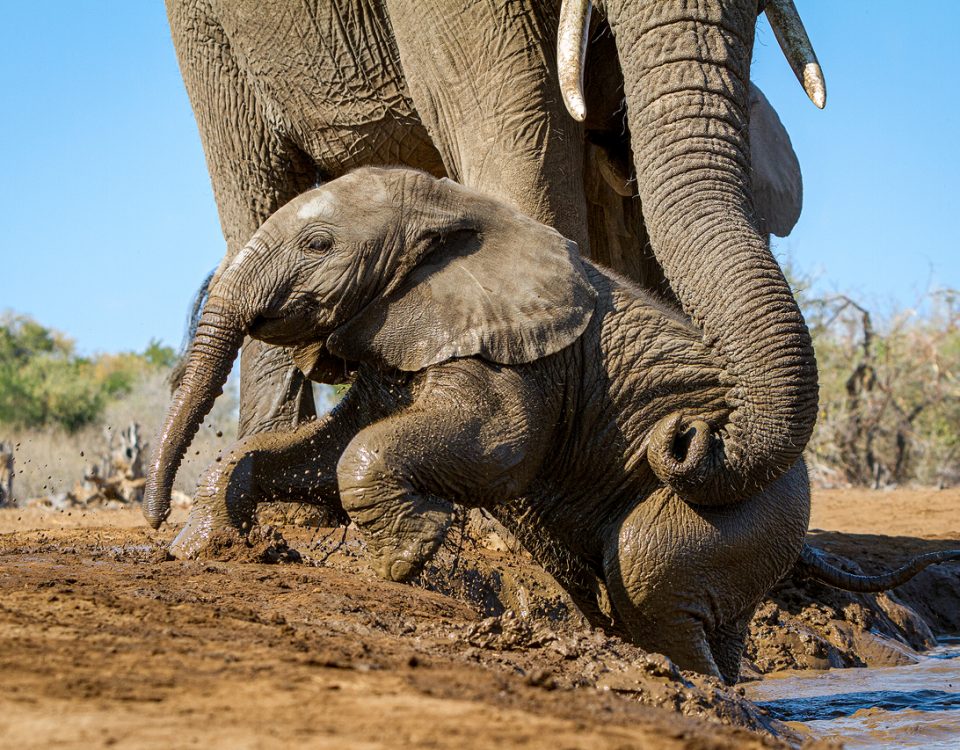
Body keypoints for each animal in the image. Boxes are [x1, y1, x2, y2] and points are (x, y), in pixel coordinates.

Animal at [143, 168, 960, 683]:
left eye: (318, 247)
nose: (150, 522)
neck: (450, 206)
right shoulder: (396, 324)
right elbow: (327, 446)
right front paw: (204, 540)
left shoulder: (518, 349)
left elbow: (499, 447)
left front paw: (401, 562)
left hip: (758, 501)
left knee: (646, 568)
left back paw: (701, 687)